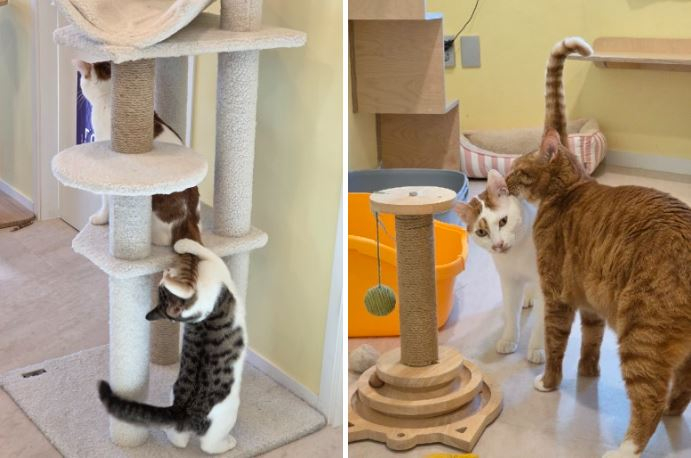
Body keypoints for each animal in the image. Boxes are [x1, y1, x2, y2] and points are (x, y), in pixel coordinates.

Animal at [99, 238, 246, 455]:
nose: (165, 272)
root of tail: (181, 412)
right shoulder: (217, 268)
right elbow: (206, 252)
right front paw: (183, 244)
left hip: (173, 394)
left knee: (178, 439)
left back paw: (170, 433)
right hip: (229, 410)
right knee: (208, 446)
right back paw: (228, 443)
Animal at [456, 169, 545, 364]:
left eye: (503, 221)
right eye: (481, 232)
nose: (498, 245)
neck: (518, 254)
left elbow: (541, 322)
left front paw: (537, 348)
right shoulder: (509, 280)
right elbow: (511, 314)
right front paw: (509, 340)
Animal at [506, 38, 691, 458]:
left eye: (519, 170)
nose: (504, 181)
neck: (570, 190)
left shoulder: (557, 295)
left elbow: (555, 344)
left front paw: (550, 381)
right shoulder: (590, 298)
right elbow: (590, 340)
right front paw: (587, 372)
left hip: (642, 336)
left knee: (649, 401)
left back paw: (626, 447)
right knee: (682, 389)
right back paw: (671, 412)